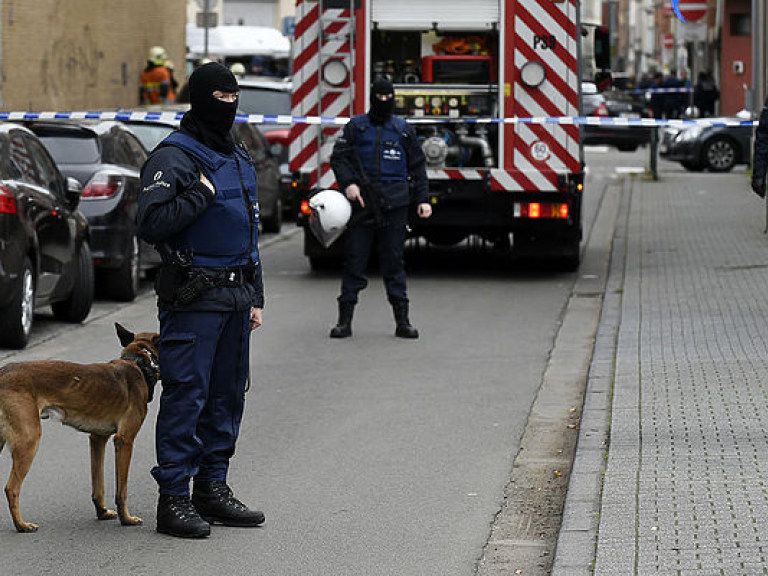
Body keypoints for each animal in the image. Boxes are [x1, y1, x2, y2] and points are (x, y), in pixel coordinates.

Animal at [0, 322, 159, 532]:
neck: (139, 362)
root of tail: (3, 373)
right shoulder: (124, 441)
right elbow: (121, 490)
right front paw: (127, 519)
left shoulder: (97, 439)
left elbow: (98, 484)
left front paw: (102, 512)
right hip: (29, 440)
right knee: (11, 488)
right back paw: (22, 525)